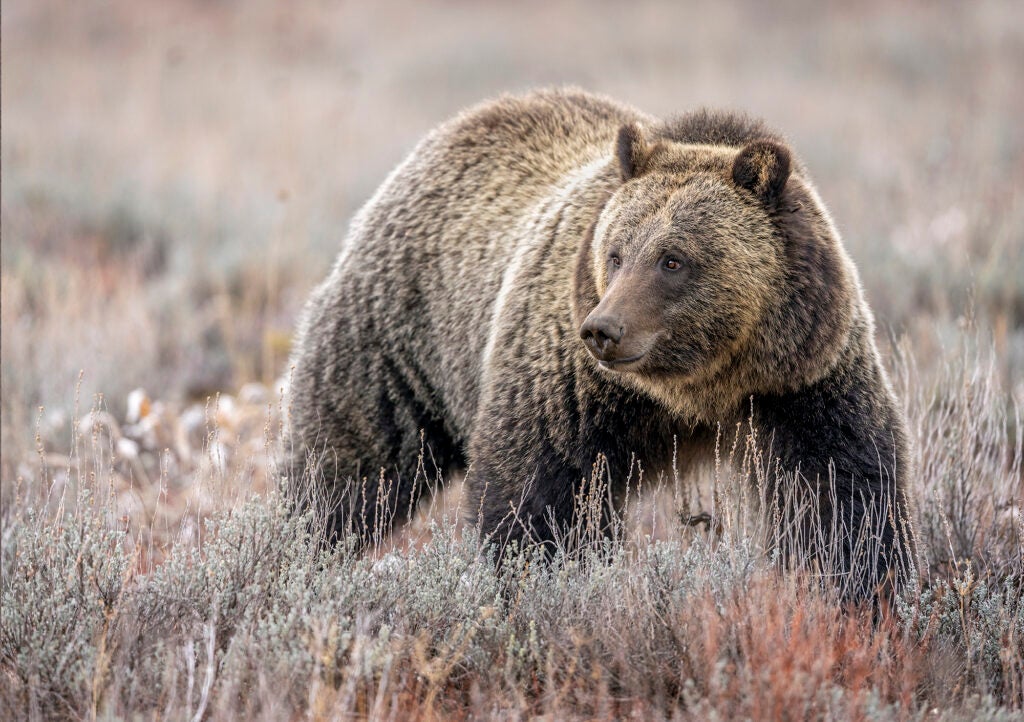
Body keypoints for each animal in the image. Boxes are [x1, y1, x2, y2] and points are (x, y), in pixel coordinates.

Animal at [290, 87, 921, 598]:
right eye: (615, 253)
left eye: (673, 259)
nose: (603, 329)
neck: (695, 390)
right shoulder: (569, 386)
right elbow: (538, 497)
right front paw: (548, 581)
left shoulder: (803, 379)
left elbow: (842, 493)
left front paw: (863, 591)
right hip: (397, 339)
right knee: (350, 465)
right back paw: (299, 545)